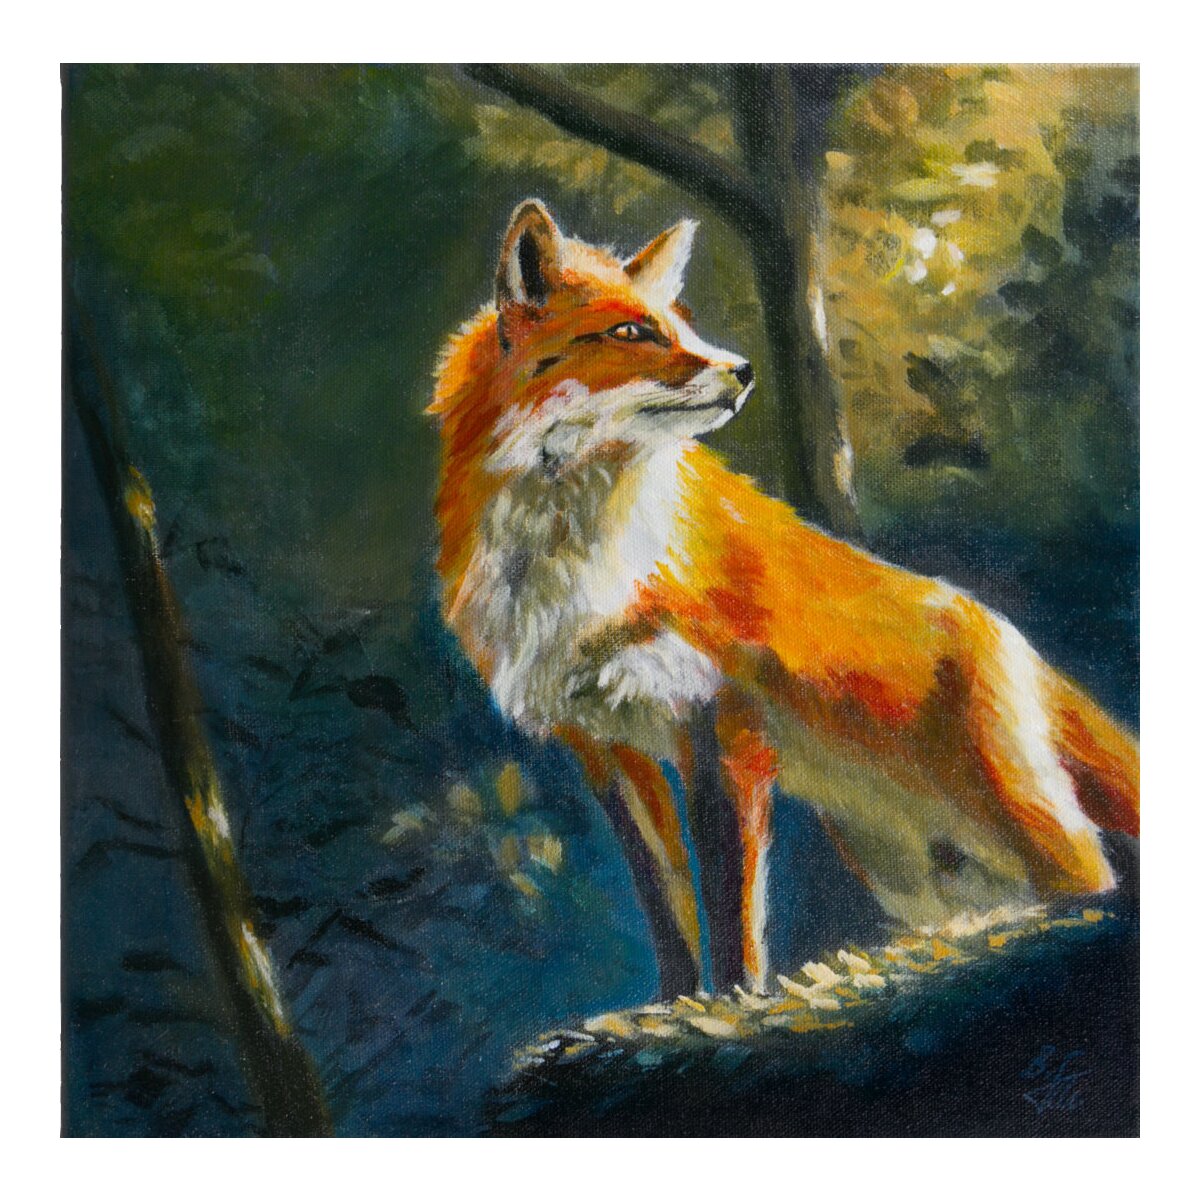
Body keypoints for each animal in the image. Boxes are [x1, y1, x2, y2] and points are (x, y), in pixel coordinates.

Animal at [428, 198, 1139, 998]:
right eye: (632, 332)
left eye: (680, 325)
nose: (742, 371)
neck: (575, 562)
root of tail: (998, 626)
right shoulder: (604, 746)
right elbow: (667, 905)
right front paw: (676, 1004)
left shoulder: (724, 724)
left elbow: (733, 906)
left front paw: (737, 999)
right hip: (924, 874)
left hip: (1019, 822)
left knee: (1095, 881)